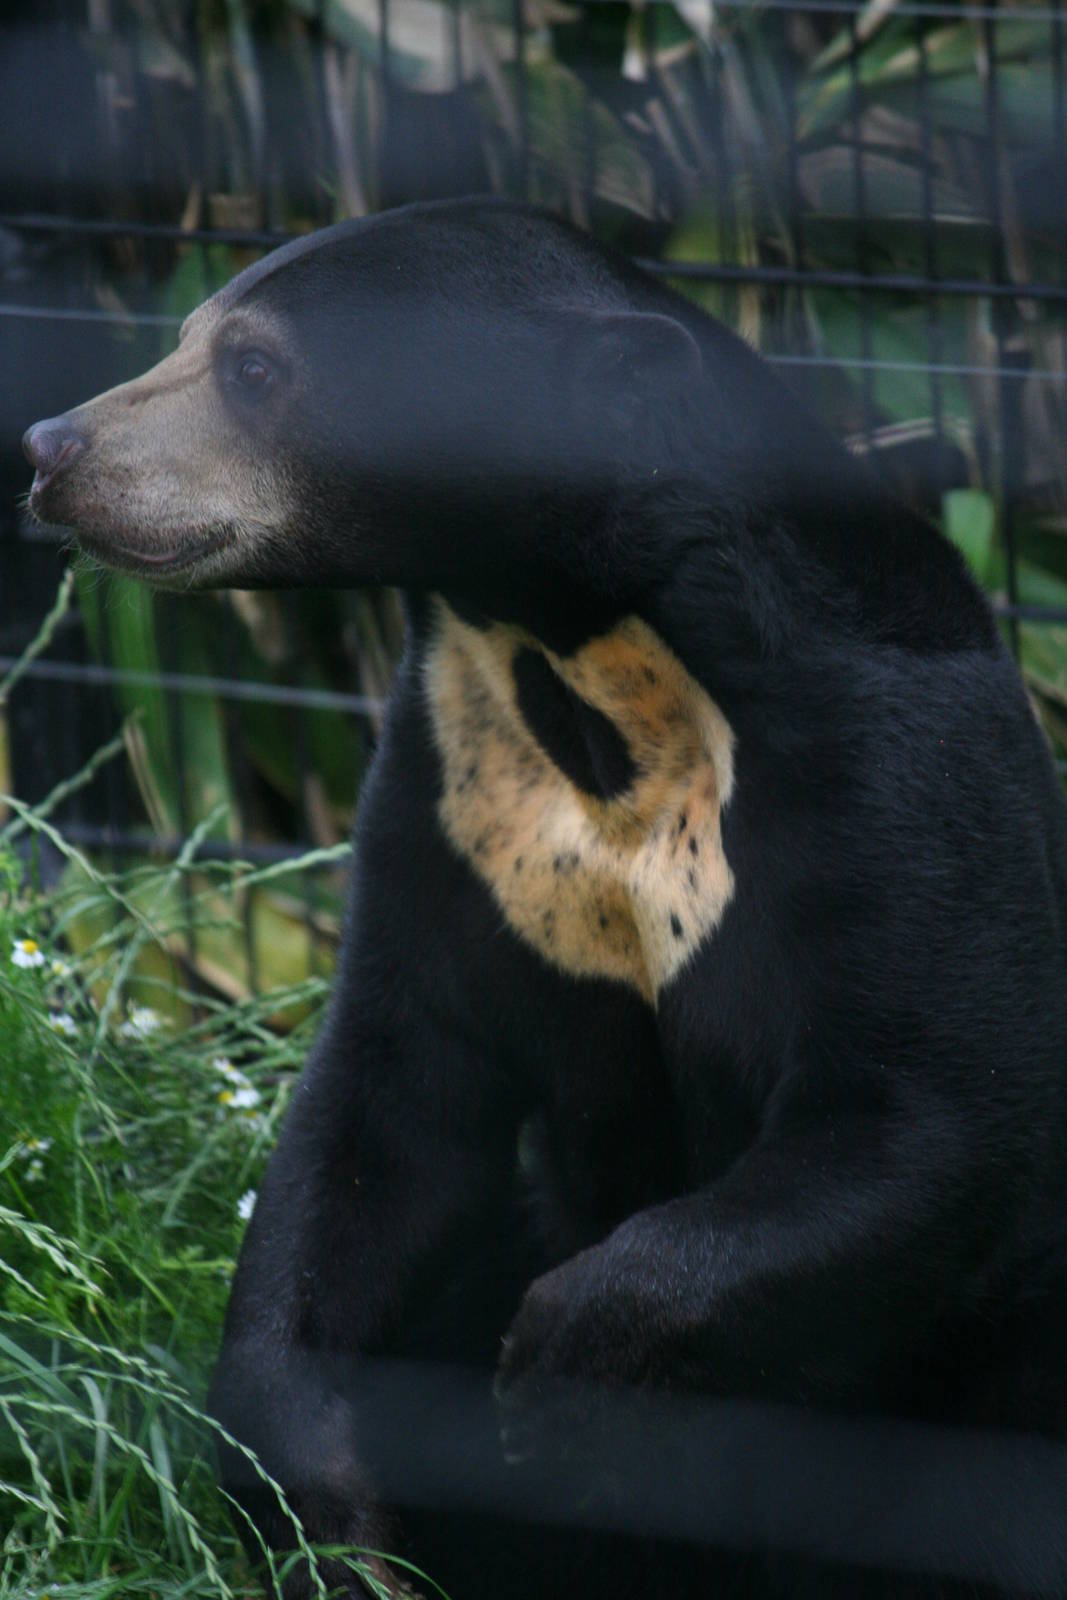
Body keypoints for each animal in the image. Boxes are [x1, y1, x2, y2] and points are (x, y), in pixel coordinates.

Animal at [23, 197, 1067, 1600]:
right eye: (189, 334)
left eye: (252, 368)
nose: (50, 449)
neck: (581, 654)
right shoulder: (457, 785)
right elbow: (383, 1106)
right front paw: (328, 1505)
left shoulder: (900, 777)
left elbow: (926, 1115)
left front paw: (553, 1371)